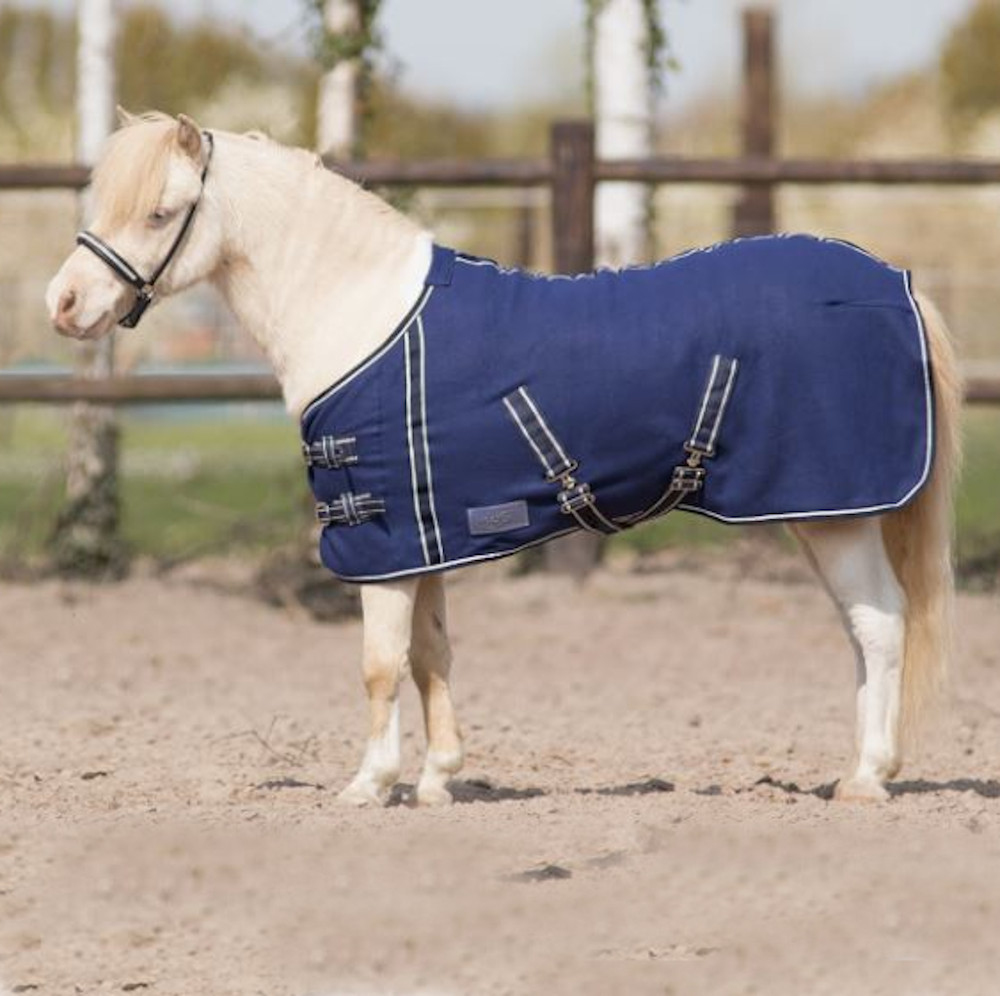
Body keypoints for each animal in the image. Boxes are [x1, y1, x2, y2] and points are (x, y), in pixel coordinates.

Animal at [46, 111, 962, 806]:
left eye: (161, 213)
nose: (64, 304)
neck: (360, 314)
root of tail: (898, 285)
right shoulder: (420, 539)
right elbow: (430, 655)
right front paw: (438, 780)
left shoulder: (379, 544)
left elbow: (379, 666)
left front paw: (369, 785)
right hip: (822, 515)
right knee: (862, 630)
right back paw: (859, 770)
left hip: (833, 513)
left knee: (880, 626)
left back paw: (867, 780)